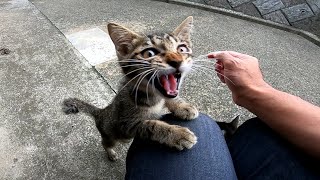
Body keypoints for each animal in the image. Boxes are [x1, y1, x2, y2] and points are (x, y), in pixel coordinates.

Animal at [61, 16, 199, 161]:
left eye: (182, 49)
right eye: (149, 53)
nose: (177, 61)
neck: (153, 98)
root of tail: (101, 112)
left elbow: (169, 98)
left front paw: (183, 107)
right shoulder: (126, 125)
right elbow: (150, 125)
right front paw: (177, 134)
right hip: (112, 136)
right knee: (105, 143)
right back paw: (111, 153)